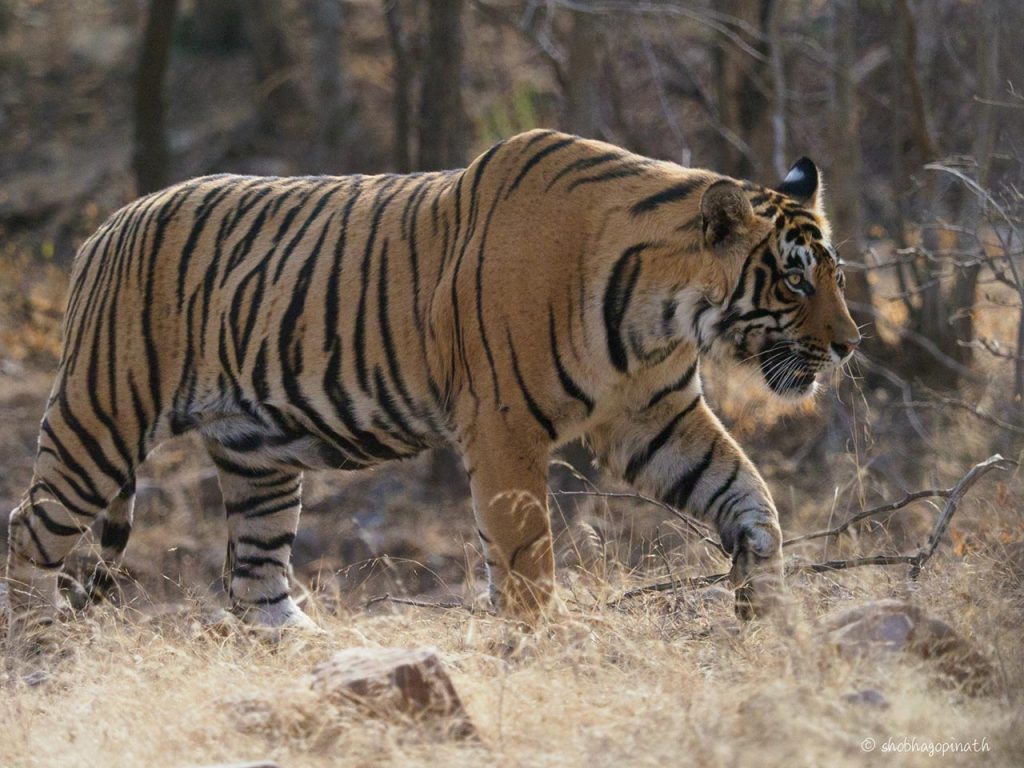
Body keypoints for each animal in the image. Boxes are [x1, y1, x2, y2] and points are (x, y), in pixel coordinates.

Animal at [4, 128, 860, 630]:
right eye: (792, 282)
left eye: (835, 275)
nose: (850, 345)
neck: (666, 312)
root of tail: (106, 225)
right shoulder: (506, 426)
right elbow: (524, 555)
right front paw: (535, 646)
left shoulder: (653, 418)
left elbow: (748, 493)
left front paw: (764, 600)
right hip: (100, 418)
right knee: (28, 528)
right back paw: (40, 648)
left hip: (257, 457)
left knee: (254, 579)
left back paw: (312, 656)